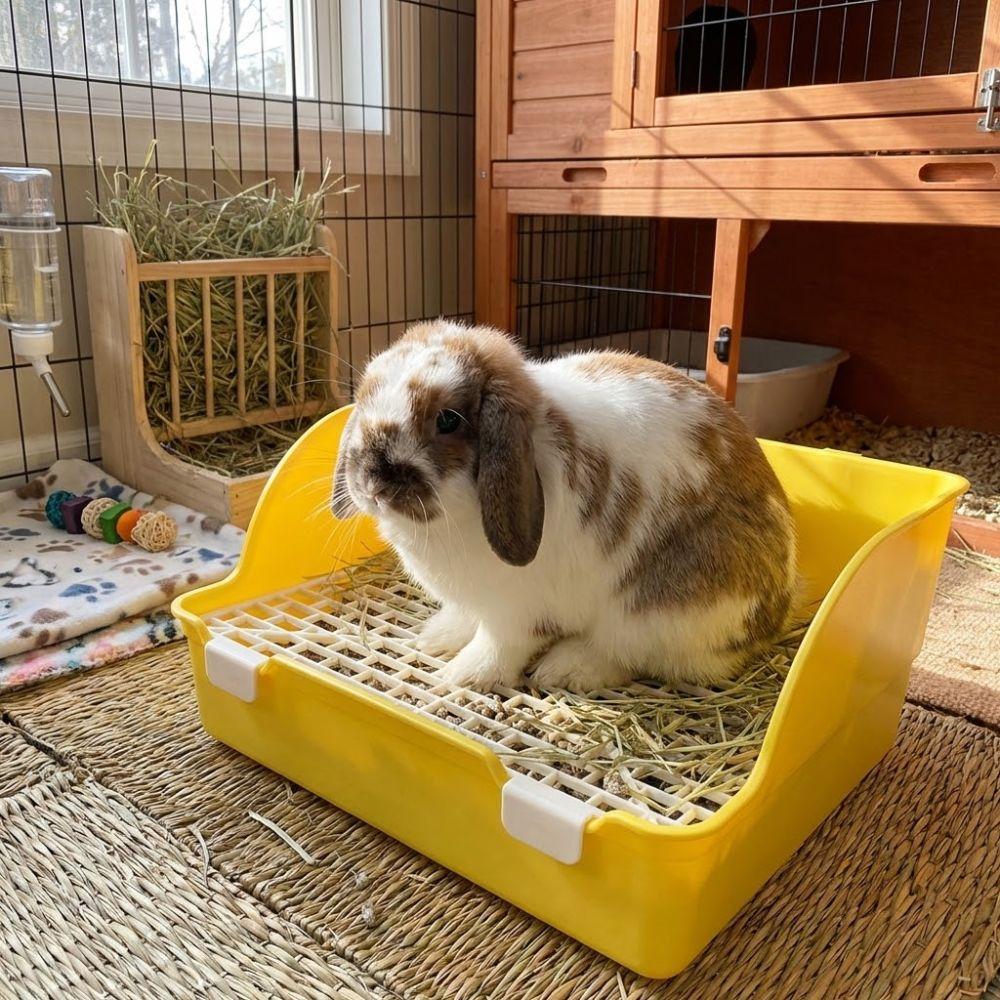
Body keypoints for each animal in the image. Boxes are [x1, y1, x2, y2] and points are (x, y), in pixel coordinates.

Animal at [332, 319, 796, 693]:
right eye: (365, 395)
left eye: (447, 420)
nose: (372, 484)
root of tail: (778, 612)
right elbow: (466, 618)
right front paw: (438, 637)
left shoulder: (516, 613)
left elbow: (499, 644)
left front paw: (463, 675)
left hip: (659, 611)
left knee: (631, 655)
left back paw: (567, 669)